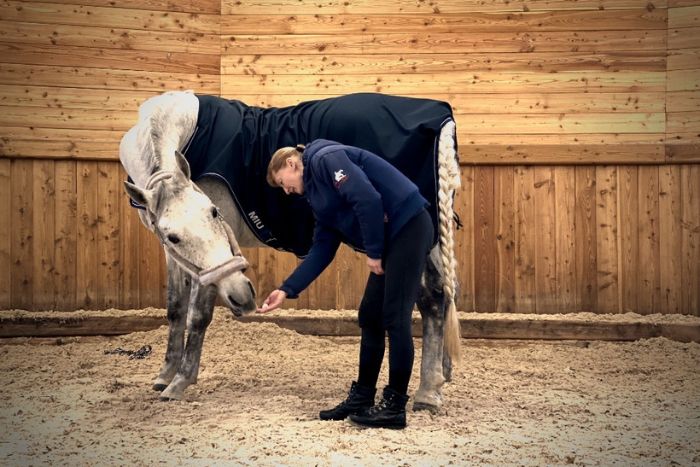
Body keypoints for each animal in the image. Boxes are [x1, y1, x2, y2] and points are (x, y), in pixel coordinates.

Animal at [120, 90, 460, 410]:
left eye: (214, 212)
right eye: (173, 237)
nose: (243, 297)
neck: (190, 129)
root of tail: (439, 118)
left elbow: (198, 315)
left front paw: (180, 382)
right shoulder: (175, 255)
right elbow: (175, 309)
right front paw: (164, 375)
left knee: (433, 299)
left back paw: (428, 392)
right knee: (446, 293)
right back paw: (442, 376)